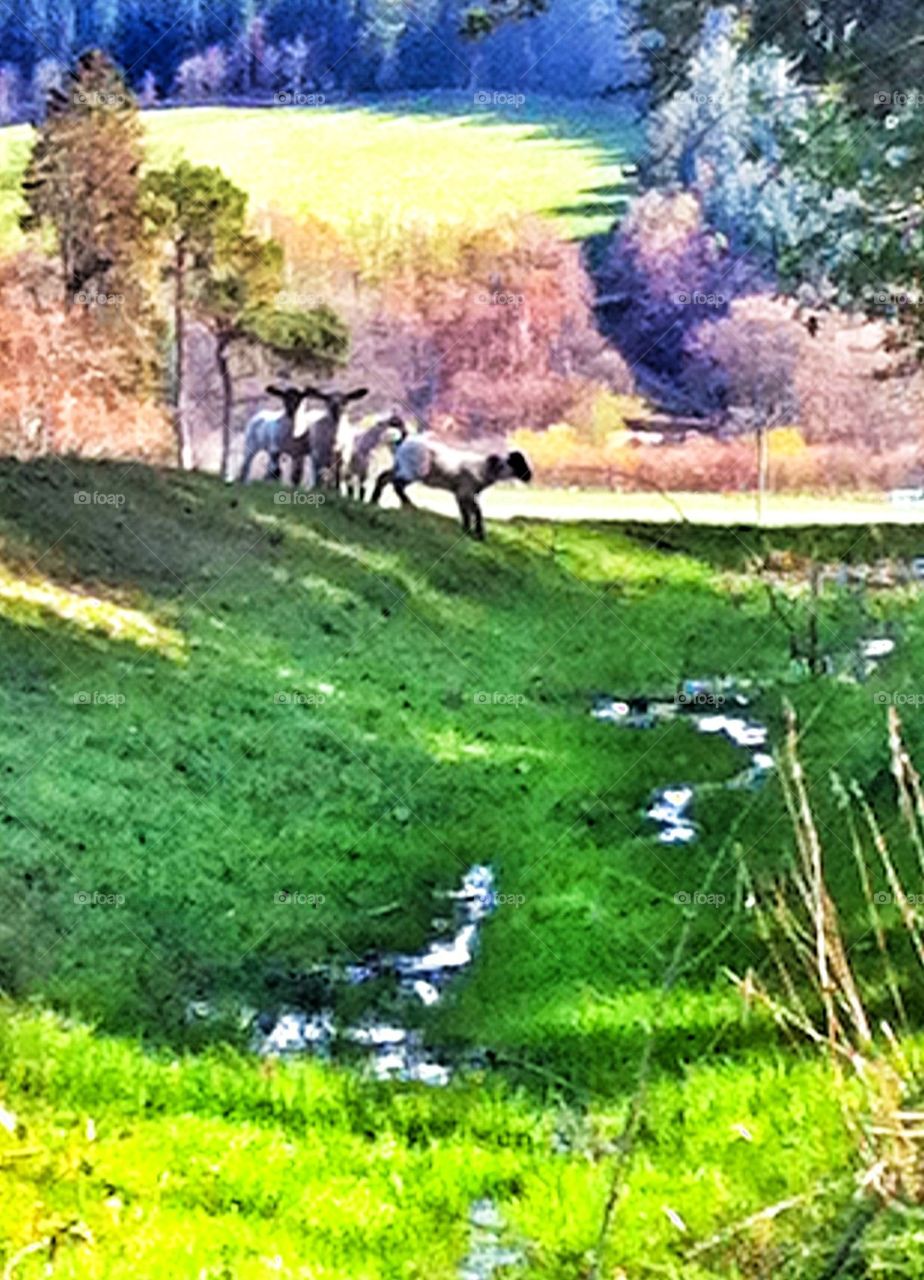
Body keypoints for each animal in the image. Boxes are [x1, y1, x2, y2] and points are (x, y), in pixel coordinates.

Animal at [370, 438, 533, 539]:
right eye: (519, 463)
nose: (530, 476)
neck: (485, 470)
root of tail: (400, 446)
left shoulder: (460, 494)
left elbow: (465, 513)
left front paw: (467, 531)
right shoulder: (466, 491)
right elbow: (477, 512)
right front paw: (479, 535)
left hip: (401, 467)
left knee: (383, 478)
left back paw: (375, 500)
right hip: (411, 471)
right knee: (394, 483)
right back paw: (407, 503)